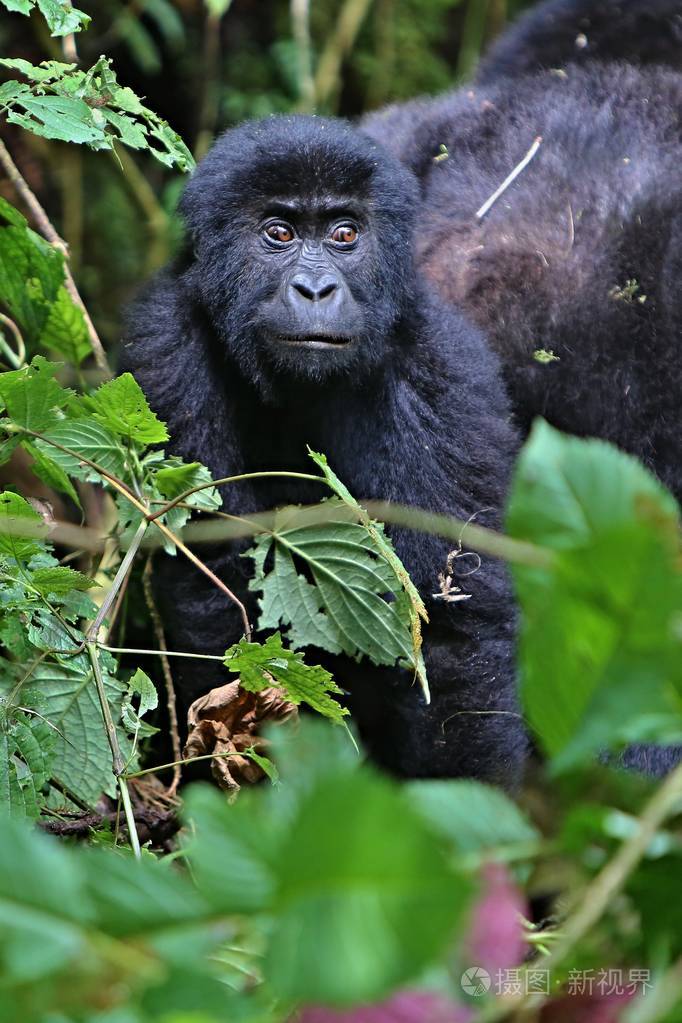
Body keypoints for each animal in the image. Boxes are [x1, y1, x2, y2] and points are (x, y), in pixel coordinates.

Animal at [122, 116, 527, 781]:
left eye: (344, 234)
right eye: (279, 233)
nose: (315, 288)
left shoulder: (444, 374)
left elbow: (453, 632)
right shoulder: (164, 348)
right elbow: (211, 585)